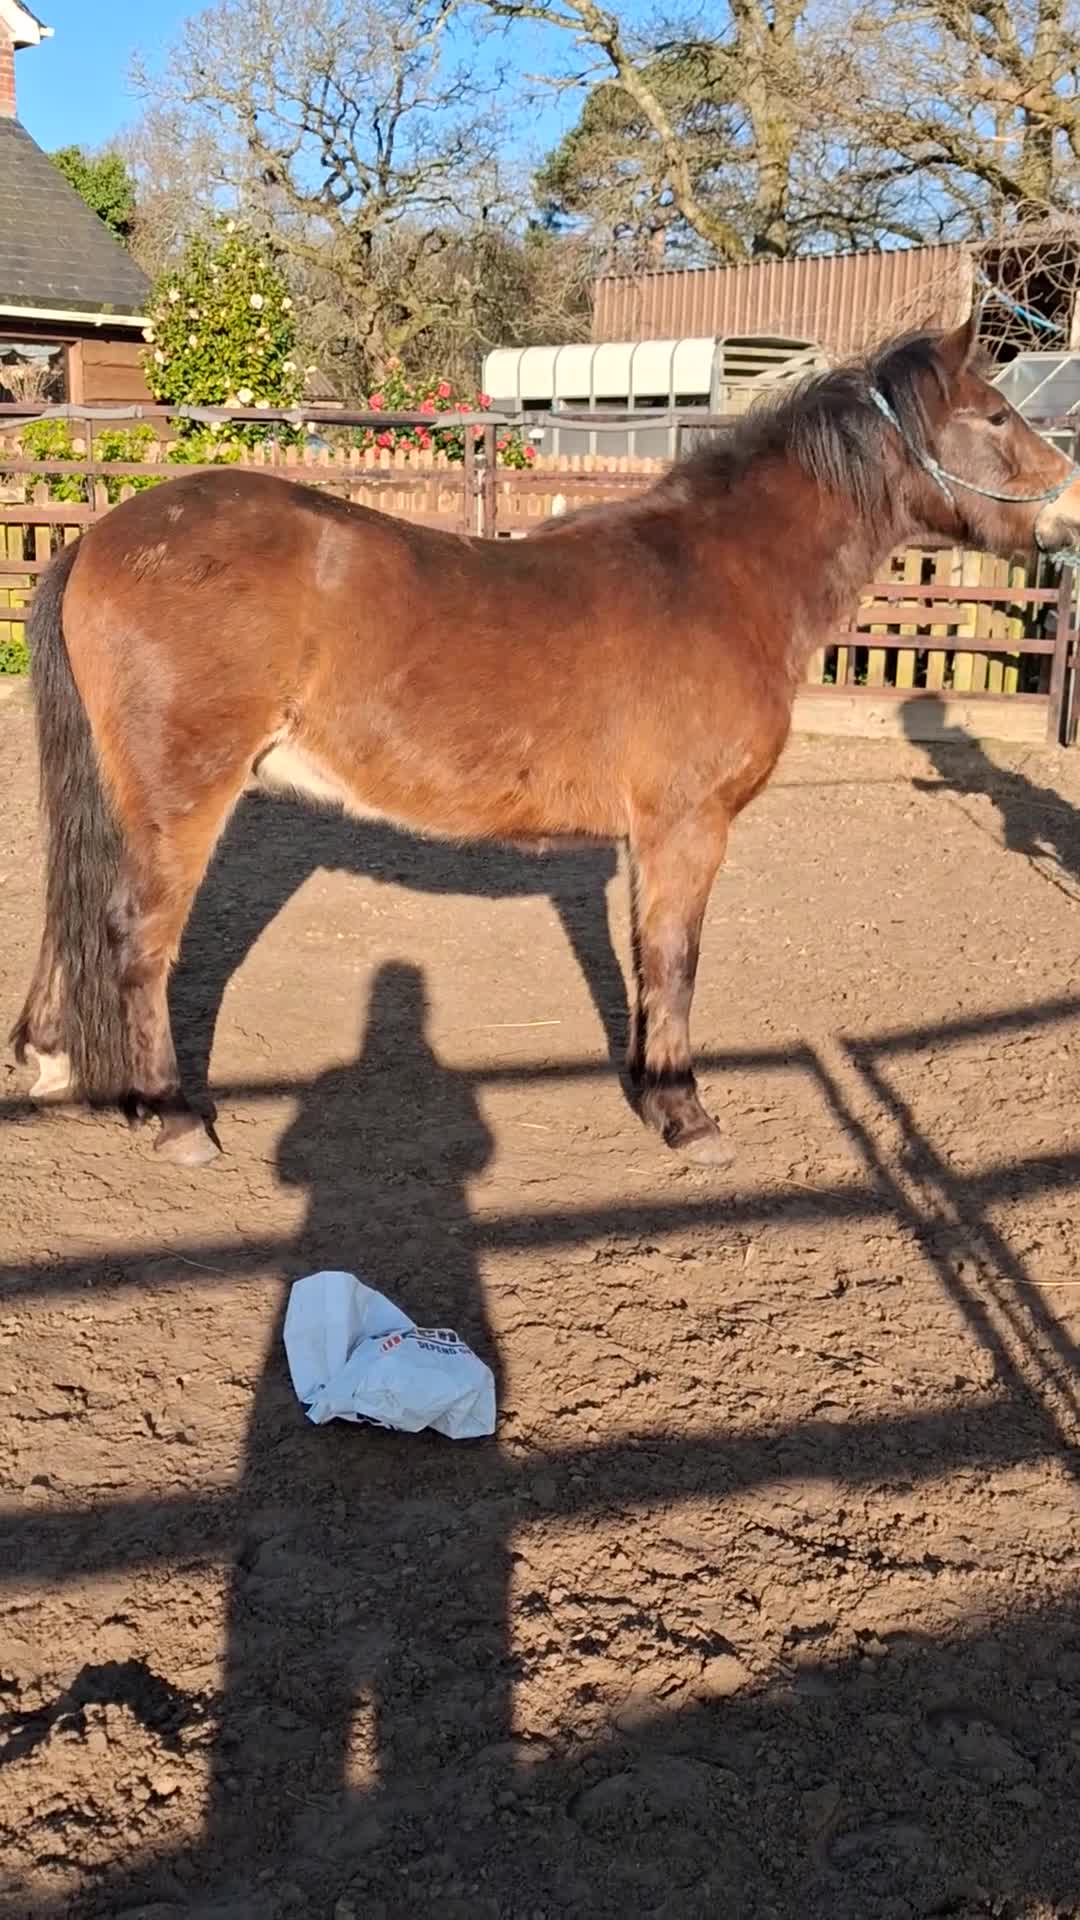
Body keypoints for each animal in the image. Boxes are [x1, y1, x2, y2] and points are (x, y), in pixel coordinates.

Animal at [12, 314, 1080, 1169]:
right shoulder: (689, 827)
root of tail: (101, 539)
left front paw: (652, 1090)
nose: (1070, 507)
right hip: (184, 794)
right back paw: (172, 1117)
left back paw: (60, 1063)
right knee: (136, 937)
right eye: (995, 416)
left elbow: (647, 958)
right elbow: (677, 960)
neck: (720, 577)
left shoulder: (651, 840)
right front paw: (685, 1113)